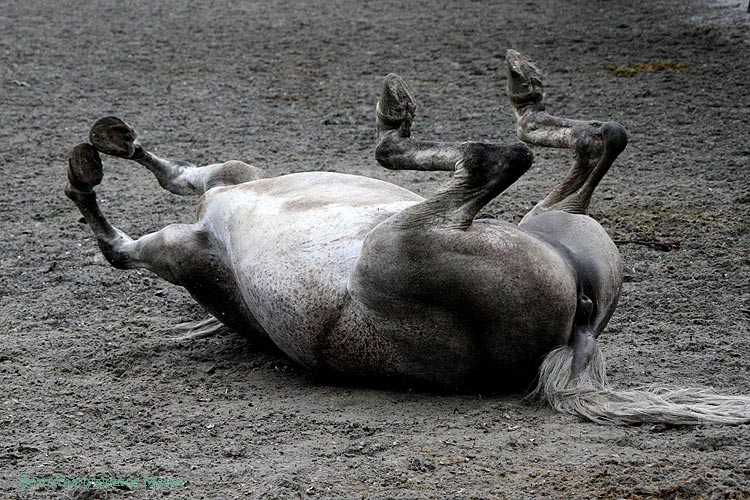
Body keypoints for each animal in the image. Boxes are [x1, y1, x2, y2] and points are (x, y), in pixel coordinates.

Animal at [67, 50, 748, 426]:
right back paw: (513, 94)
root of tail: (577, 326)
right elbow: (155, 201)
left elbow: (128, 236)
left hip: (393, 245)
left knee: (498, 155)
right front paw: (107, 150)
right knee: (581, 147)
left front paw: (96, 163)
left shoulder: (198, 223)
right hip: (540, 226)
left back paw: (421, 110)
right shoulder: (208, 206)